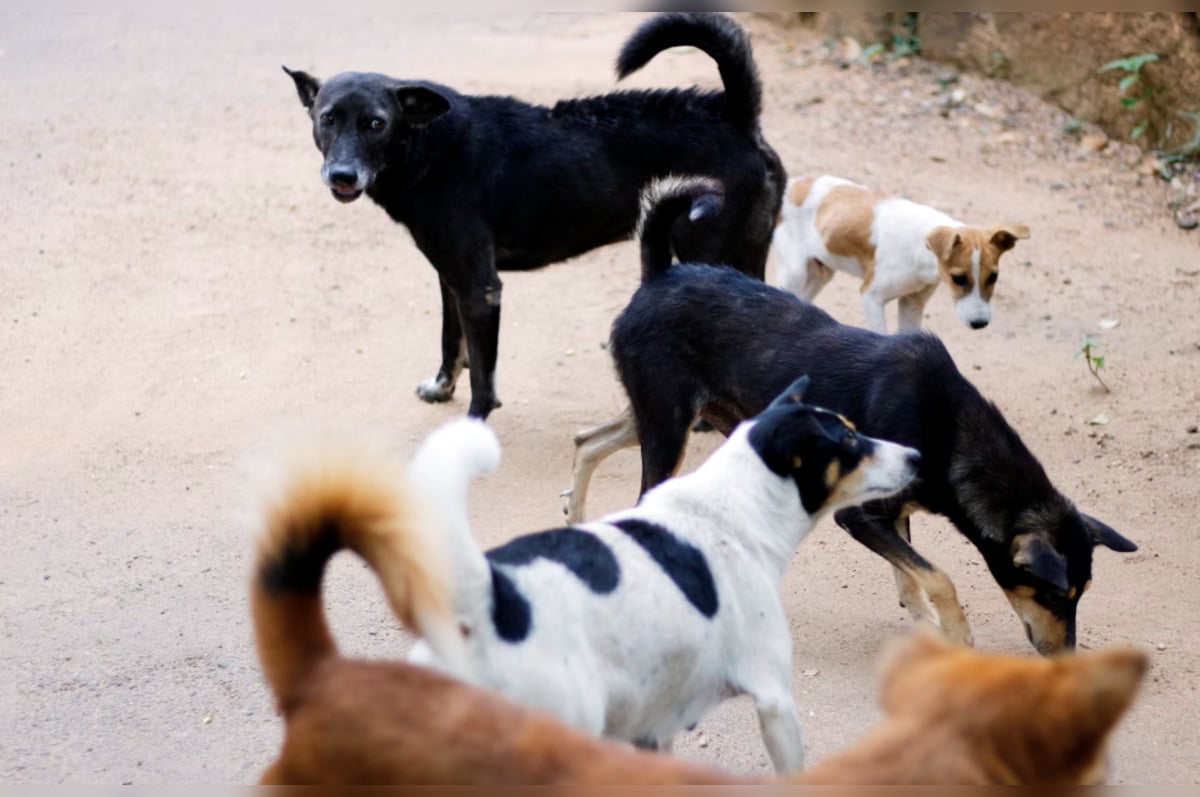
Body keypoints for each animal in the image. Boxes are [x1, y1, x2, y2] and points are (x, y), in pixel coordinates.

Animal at [250, 441, 1142, 782]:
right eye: (1058, 594)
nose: (1068, 655)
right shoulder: (777, 697)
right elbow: (941, 579)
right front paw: (946, 624)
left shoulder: (652, 724)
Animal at [283, 12, 787, 420]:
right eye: (328, 119)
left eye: (376, 123)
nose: (342, 176)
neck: (427, 143)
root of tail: (735, 114)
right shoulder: (451, 277)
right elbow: (452, 343)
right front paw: (441, 387)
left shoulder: (480, 288)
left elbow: (483, 378)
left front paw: (472, 426)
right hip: (746, 254)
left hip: (704, 251)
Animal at [403, 379, 916, 772]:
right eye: (849, 441)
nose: (916, 455)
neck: (731, 508)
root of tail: (489, 599)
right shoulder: (775, 701)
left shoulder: (653, 727)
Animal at [772, 175, 1027, 333]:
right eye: (958, 278)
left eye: (993, 277)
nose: (980, 323)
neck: (920, 249)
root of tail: (792, 183)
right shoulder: (871, 297)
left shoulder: (912, 304)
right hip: (795, 273)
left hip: (820, 275)